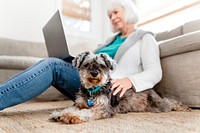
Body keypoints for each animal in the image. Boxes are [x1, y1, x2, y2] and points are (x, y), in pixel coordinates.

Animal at [49, 51, 189, 124]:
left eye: (102, 65)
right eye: (87, 64)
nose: (94, 73)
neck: (92, 90)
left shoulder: (102, 109)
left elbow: (86, 112)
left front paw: (71, 117)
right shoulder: (79, 104)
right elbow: (71, 108)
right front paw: (59, 113)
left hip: (159, 105)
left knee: (170, 102)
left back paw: (183, 107)